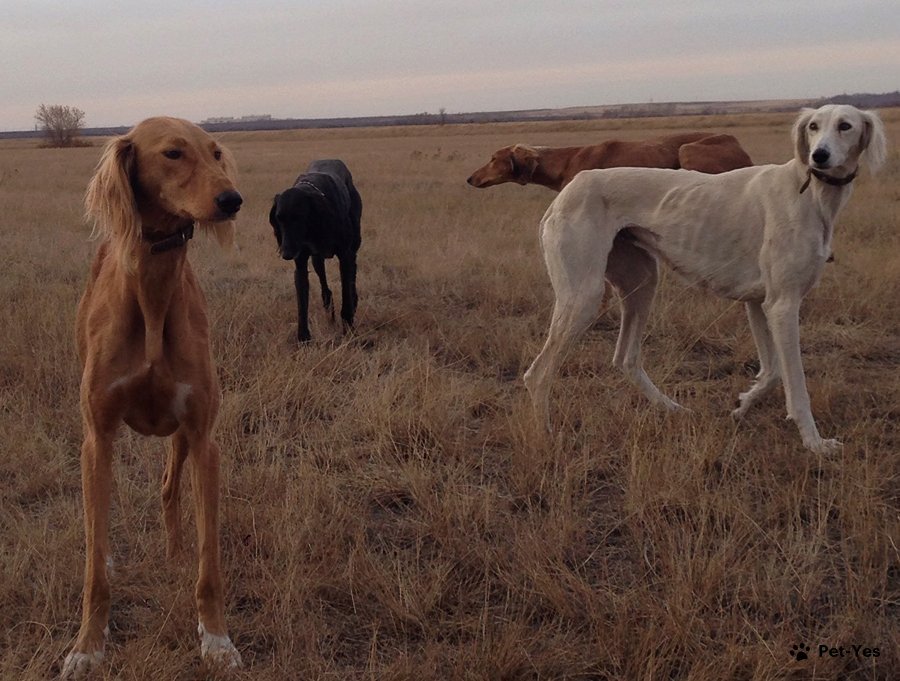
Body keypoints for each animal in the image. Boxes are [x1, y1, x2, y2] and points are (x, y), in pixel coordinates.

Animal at [62, 117, 243, 676]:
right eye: (173, 153)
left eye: (215, 153)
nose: (232, 199)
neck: (153, 295)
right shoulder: (97, 436)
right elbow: (93, 566)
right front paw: (87, 646)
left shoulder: (204, 437)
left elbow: (211, 562)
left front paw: (217, 639)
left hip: (180, 435)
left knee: (167, 486)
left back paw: (175, 554)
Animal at [268, 159, 360, 340]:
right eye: (278, 218)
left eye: (299, 218)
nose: (286, 254)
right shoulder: (301, 264)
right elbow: (302, 304)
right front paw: (303, 337)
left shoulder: (344, 256)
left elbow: (346, 293)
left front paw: (348, 329)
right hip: (317, 259)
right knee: (325, 286)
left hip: (354, 245)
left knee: (353, 272)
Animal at [524, 105, 888, 452]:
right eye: (813, 126)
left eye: (845, 126)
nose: (819, 156)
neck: (810, 192)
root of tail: (570, 188)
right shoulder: (783, 305)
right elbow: (795, 384)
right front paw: (815, 444)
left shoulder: (759, 303)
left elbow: (771, 372)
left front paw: (743, 405)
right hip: (583, 297)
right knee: (538, 374)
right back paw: (545, 437)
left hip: (642, 283)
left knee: (625, 358)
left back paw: (672, 409)